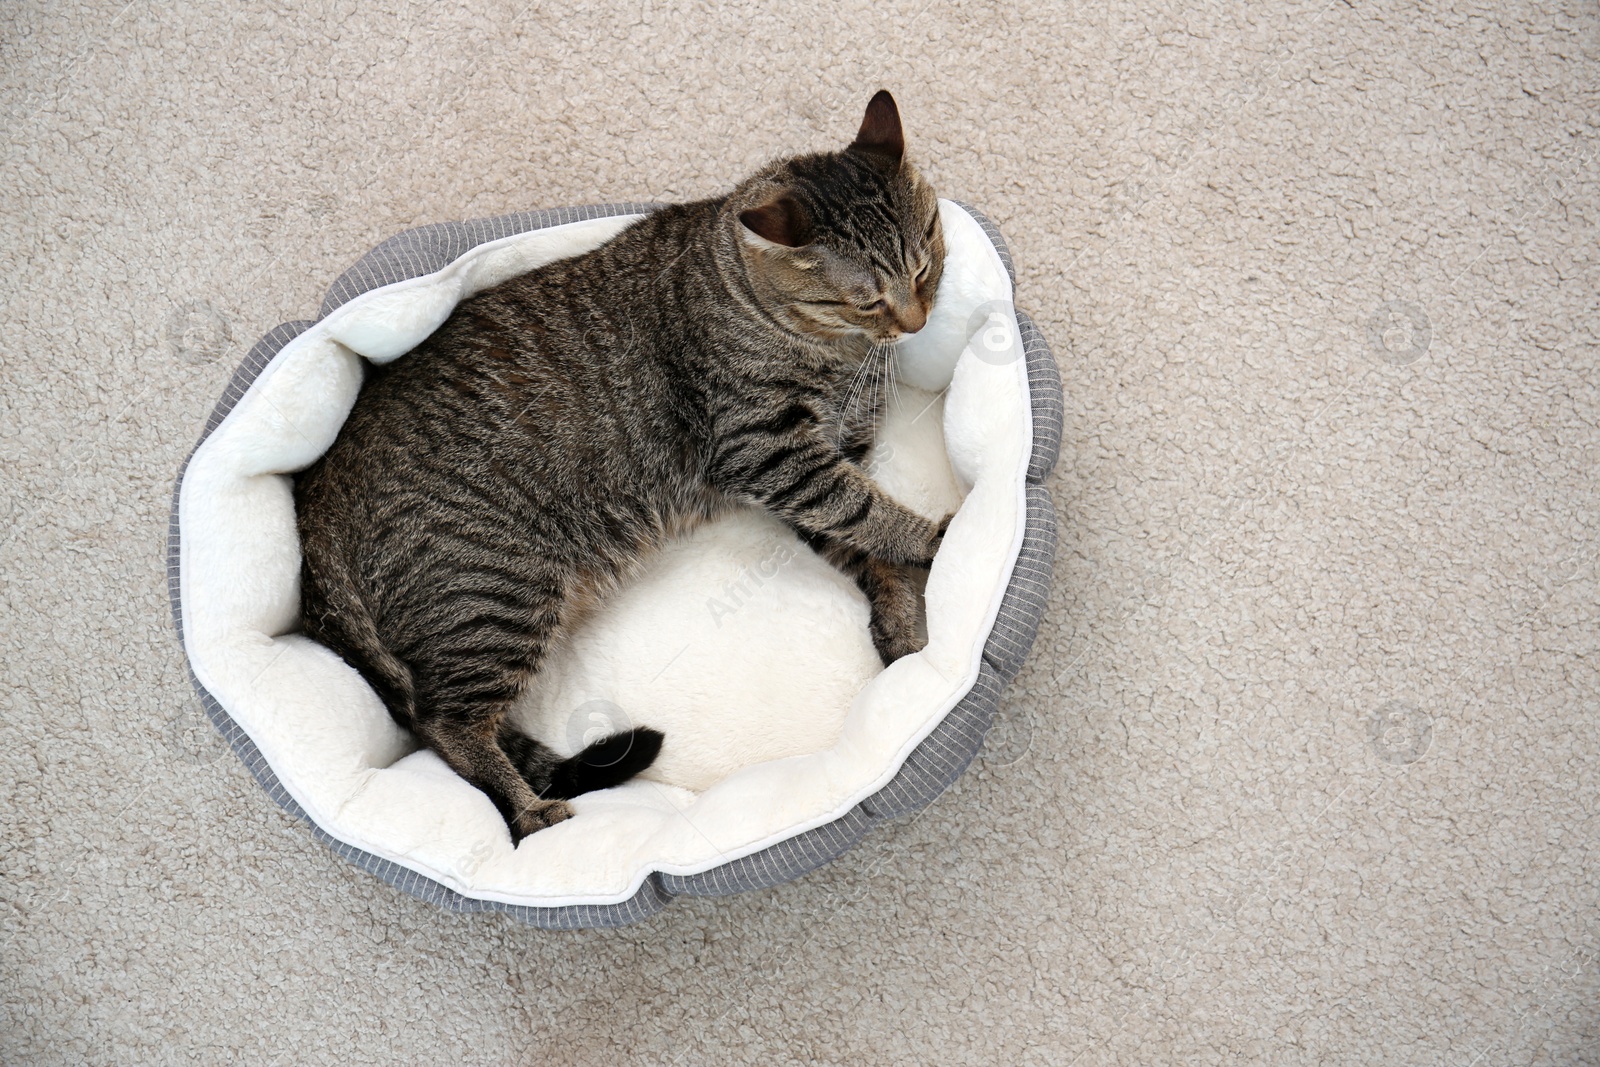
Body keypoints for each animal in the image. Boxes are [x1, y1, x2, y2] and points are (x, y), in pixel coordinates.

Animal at [297, 91, 947, 844]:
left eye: (925, 262)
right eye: (866, 298)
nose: (918, 321)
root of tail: (316, 505)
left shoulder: (810, 472)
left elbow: (864, 540)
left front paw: (899, 618)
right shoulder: (769, 454)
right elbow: (870, 512)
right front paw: (935, 539)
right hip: (494, 595)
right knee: (445, 724)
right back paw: (528, 809)